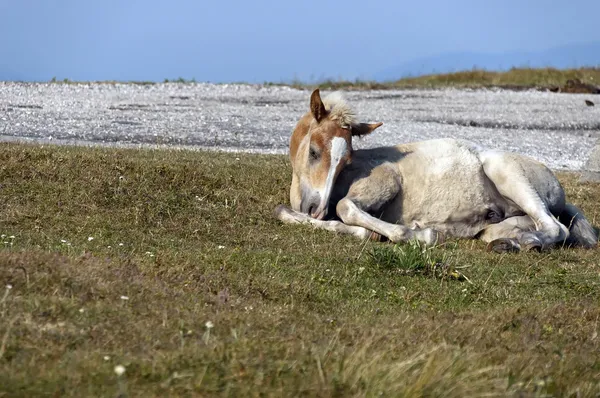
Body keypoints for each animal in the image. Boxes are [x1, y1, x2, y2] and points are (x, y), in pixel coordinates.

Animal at [274, 89, 596, 253]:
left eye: (347, 160)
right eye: (314, 152)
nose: (315, 209)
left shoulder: (387, 179)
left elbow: (345, 207)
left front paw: (418, 234)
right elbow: (284, 213)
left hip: (507, 173)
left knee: (556, 227)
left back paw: (528, 243)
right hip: (504, 222)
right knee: (525, 228)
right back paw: (508, 243)